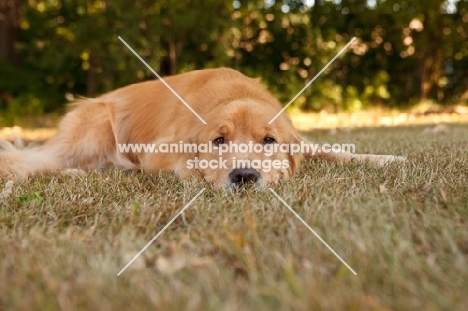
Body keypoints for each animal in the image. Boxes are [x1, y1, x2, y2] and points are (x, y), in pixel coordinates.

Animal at [0, 68, 406, 189]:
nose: (244, 177)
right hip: (97, 123)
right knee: (37, 160)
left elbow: (333, 150)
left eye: (269, 140)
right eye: (219, 140)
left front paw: (387, 158)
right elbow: (190, 167)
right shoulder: (159, 153)